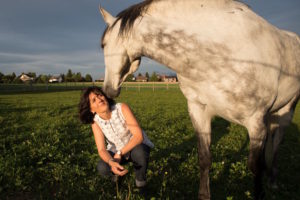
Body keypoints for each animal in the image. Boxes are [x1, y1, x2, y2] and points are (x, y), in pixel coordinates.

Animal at [98, 0, 300, 199]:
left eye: (103, 44)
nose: (108, 89)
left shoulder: (255, 120)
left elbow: (255, 166)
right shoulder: (199, 110)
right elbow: (204, 158)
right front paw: (204, 194)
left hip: (286, 112)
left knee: (276, 145)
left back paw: (273, 181)